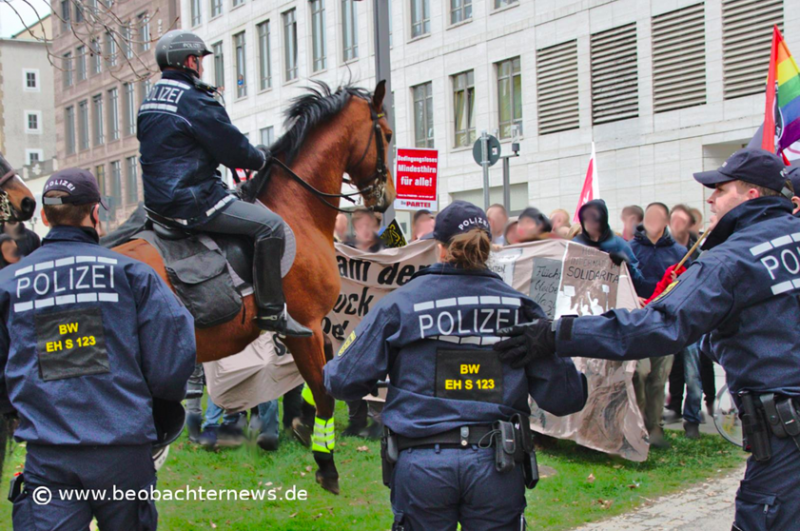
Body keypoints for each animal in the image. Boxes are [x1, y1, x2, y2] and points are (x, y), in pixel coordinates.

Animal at [114, 82, 396, 494]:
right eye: (387, 135)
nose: (386, 197)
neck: (296, 208)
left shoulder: (313, 329)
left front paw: (301, 423)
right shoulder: (305, 326)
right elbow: (324, 393)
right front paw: (325, 464)